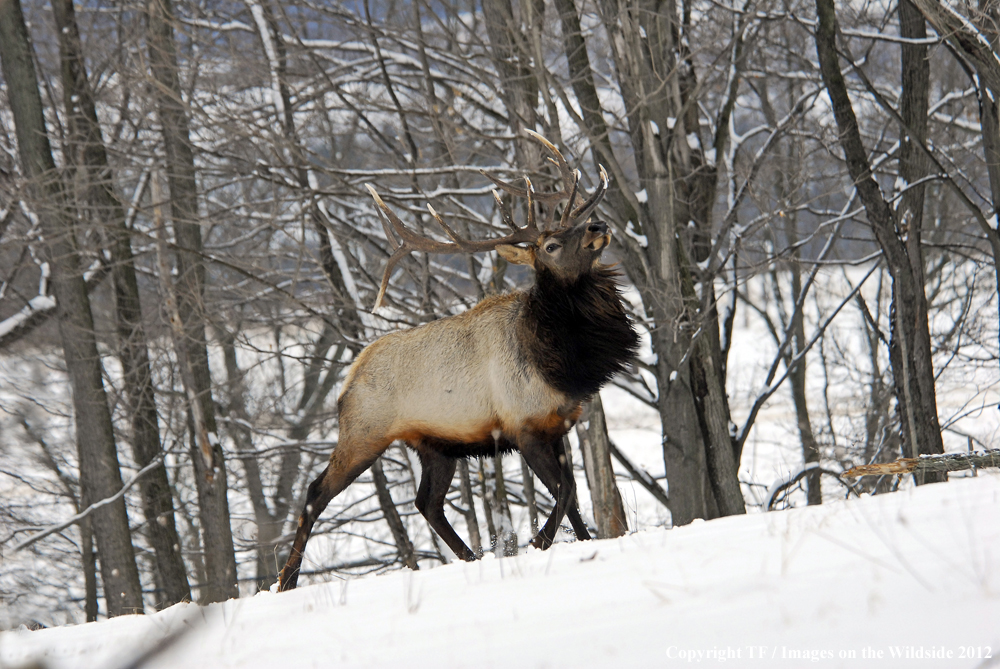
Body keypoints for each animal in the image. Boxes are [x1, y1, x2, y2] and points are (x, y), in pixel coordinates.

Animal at [278, 130, 636, 588]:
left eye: (574, 224)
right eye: (551, 244)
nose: (598, 225)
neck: (562, 362)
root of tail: (347, 381)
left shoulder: (557, 426)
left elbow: (572, 494)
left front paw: (585, 542)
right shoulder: (524, 427)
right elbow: (567, 491)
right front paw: (536, 544)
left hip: (436, 446)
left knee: (426, 502)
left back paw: (470, 557)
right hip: (363, 433)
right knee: (315, 492)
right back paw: (286, 578)